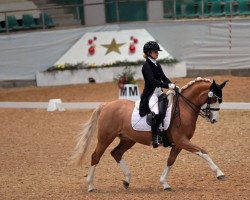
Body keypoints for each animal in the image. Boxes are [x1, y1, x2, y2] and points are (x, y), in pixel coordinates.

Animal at [70, 76, 229, 191]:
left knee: (116, 153)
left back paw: (127, 180)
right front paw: (220, 174)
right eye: (213, 98)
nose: (214, 120)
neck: (183, 108)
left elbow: (170, 160)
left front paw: (164, 183)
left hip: (128, 139)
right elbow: (203, 152)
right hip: (105, 137)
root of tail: (106, 105)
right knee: (96, 156)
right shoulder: (182, 140)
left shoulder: (179, 143)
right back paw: (90, 186)